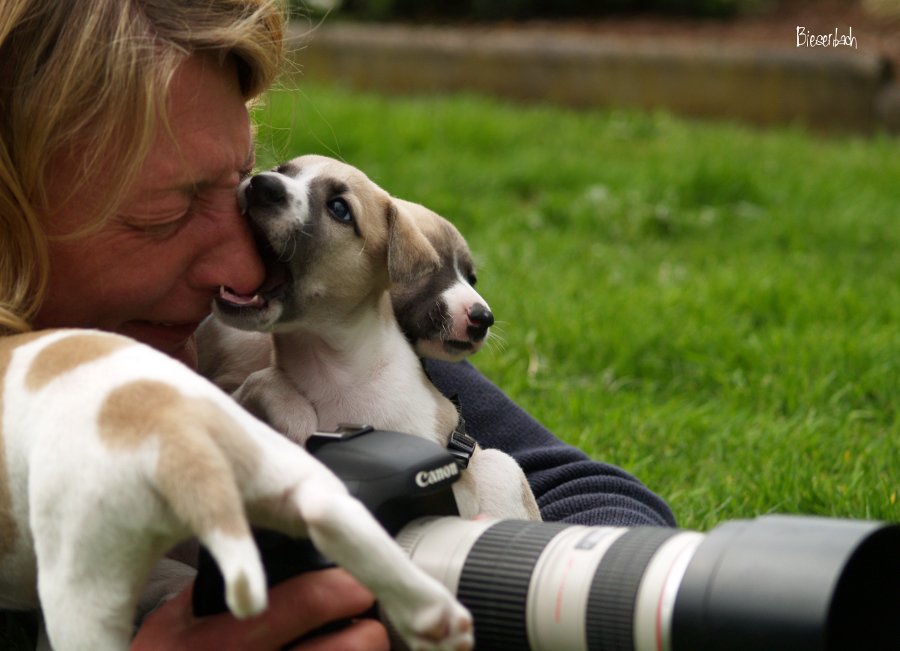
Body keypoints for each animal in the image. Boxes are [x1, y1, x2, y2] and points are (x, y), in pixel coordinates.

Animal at [200, 155, 536, 524]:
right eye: (280, 171)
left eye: (339, 208)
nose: (263, 184)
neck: (328, 364)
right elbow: (259, 382)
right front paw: (296, 421)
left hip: (501, 467)